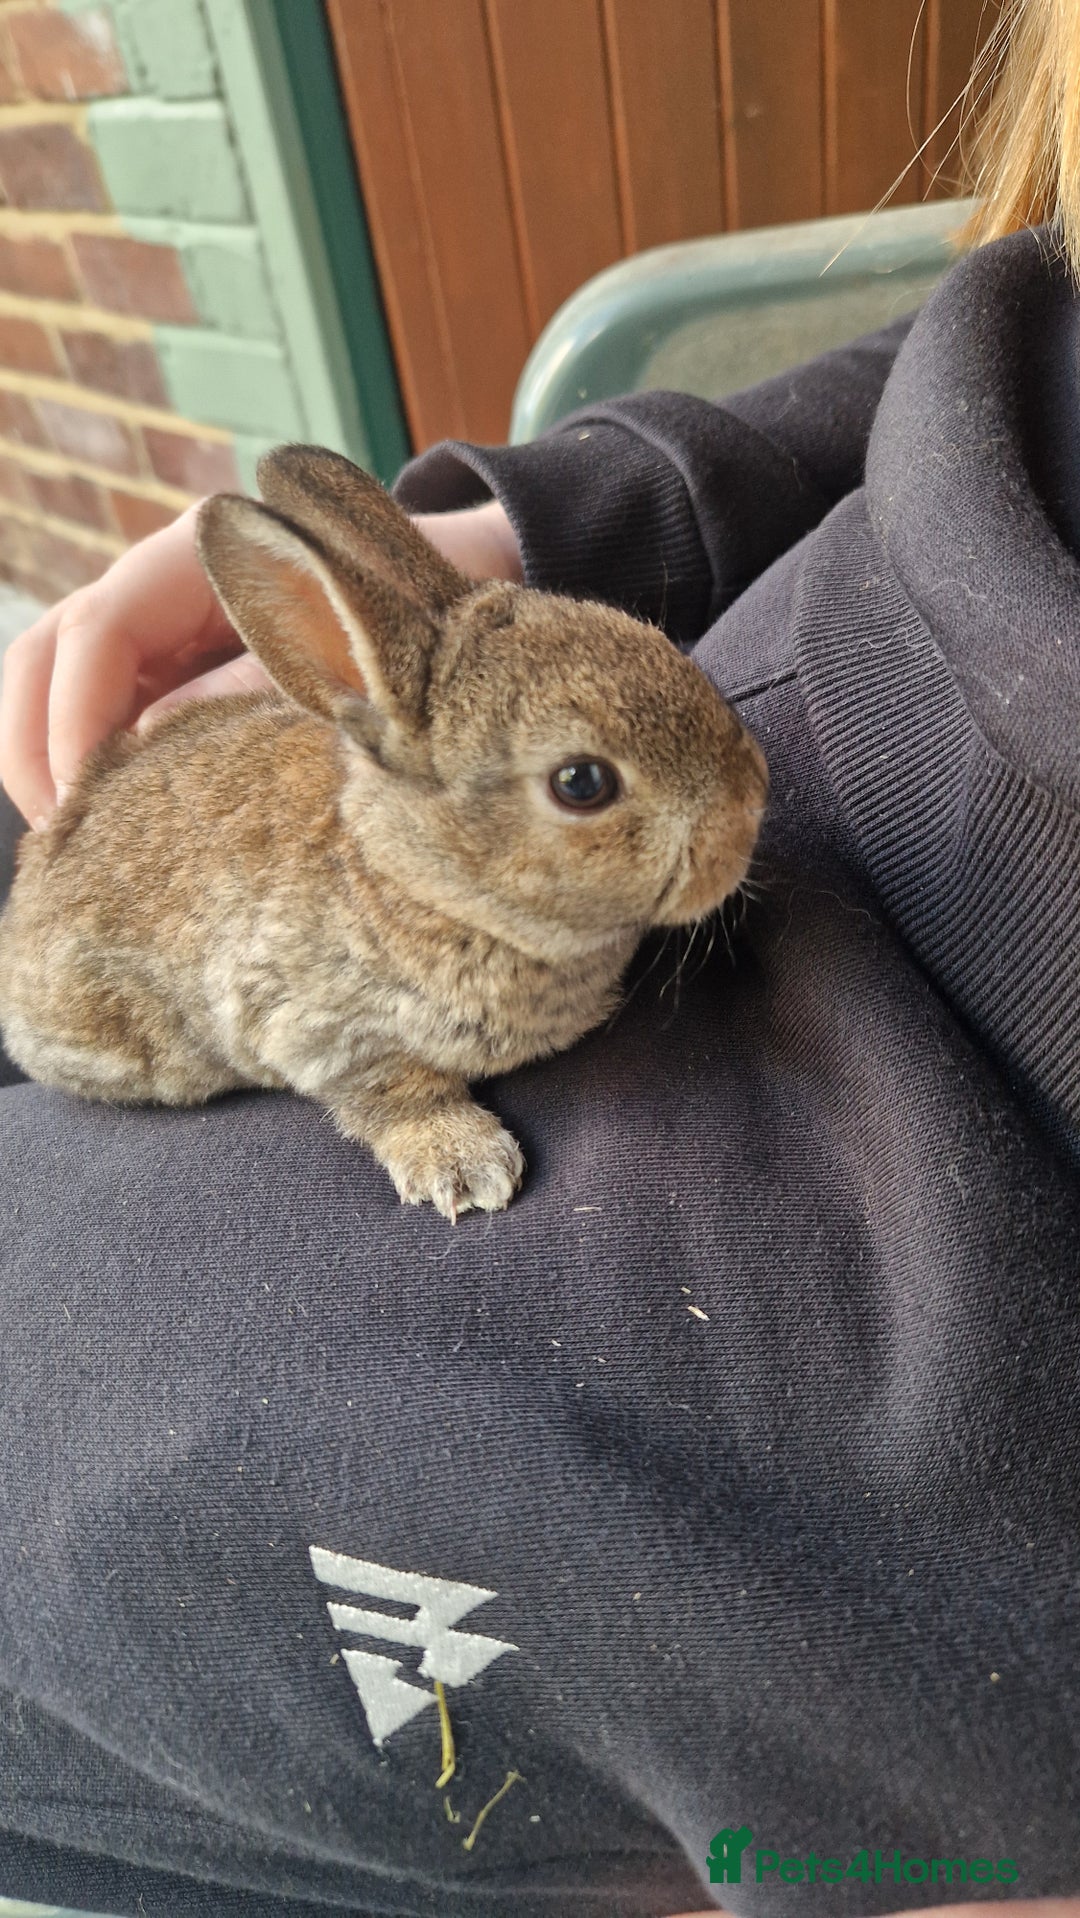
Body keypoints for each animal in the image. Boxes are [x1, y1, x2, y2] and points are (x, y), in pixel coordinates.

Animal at [0, 445, 768, 1222]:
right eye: (582, 783)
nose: (749, 808)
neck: (420, 883)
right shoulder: (316, 1029)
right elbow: (393, 1094)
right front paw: (463, 1167)